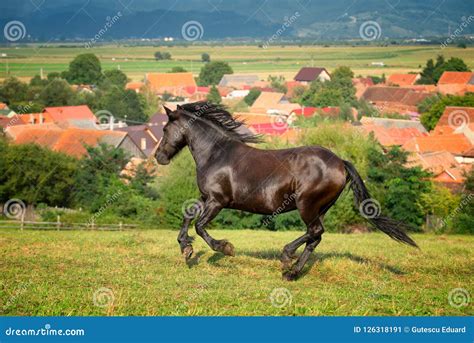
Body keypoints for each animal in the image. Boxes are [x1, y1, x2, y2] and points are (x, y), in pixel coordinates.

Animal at [155, 101, 414, 280]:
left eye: (165, 130)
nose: (159, 157)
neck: (216, 153)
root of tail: (340, 161)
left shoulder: (217, 201)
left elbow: (199, 226)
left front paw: (225, 248)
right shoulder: (206, 197)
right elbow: (188, 215)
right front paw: (186, 248)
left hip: (307, 204)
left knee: (315, 232)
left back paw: (287, 257)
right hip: (321, 207)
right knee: (315, 237)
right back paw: (292, 273)